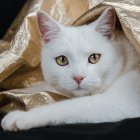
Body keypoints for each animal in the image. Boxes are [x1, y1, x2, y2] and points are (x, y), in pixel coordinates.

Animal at [1, 7, 140, 131]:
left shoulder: (120, 101)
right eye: (62, 60)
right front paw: (17, 91)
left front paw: (22, 116)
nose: (78, 77)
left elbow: (67, 106)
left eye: (94, 58)